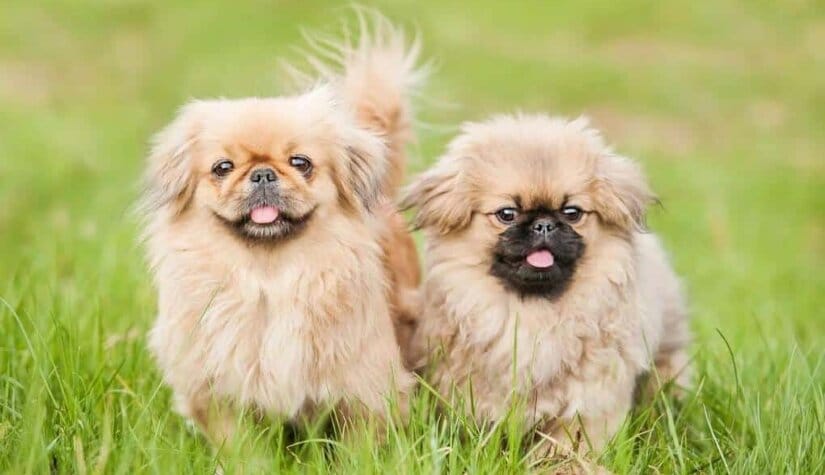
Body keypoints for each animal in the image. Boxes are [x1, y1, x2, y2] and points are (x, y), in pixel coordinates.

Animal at [400, 114, 688, 454]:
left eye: (572, 213)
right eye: (507, 214)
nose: (544, 224)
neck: (535, 313)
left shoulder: (588, 400)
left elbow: (567, 444)